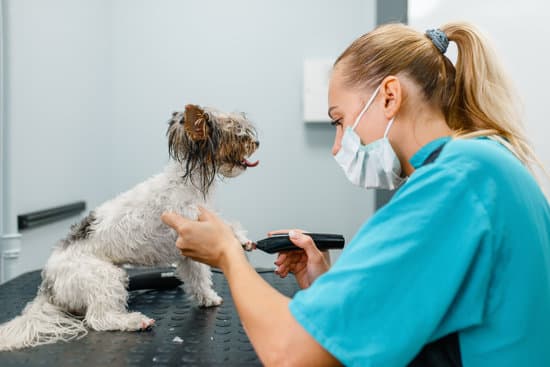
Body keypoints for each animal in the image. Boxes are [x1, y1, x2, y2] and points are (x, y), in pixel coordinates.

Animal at [0, 103, 260, 350]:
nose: (256, 142)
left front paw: (208, 298)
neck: (189, 183)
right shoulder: (189, 223)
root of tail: (48, 285)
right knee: (99, 319)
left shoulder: (188, 252)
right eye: (235, 130)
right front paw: (240, 238)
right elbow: (225, 227)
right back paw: (134, 321)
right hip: (105, 277)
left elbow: (199, 278)